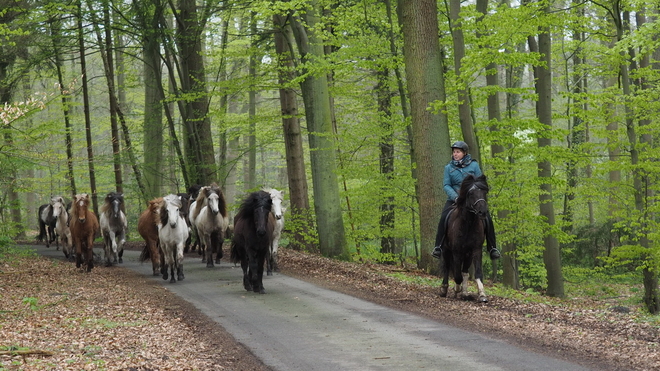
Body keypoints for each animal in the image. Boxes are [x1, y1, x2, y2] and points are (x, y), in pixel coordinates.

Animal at [438, 174, 490, 302]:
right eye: (470, 193)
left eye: (484, 192)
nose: (482, 212)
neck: (468, 225)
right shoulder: (456, 251)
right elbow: (457, 275)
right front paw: (456, 289)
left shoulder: (476, 250)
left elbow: (477, 273)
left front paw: (482, 295)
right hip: (446, 250)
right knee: (447, 267)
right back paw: (444, 289)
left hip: (468, 254)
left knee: (465, 271)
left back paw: (465, 293)